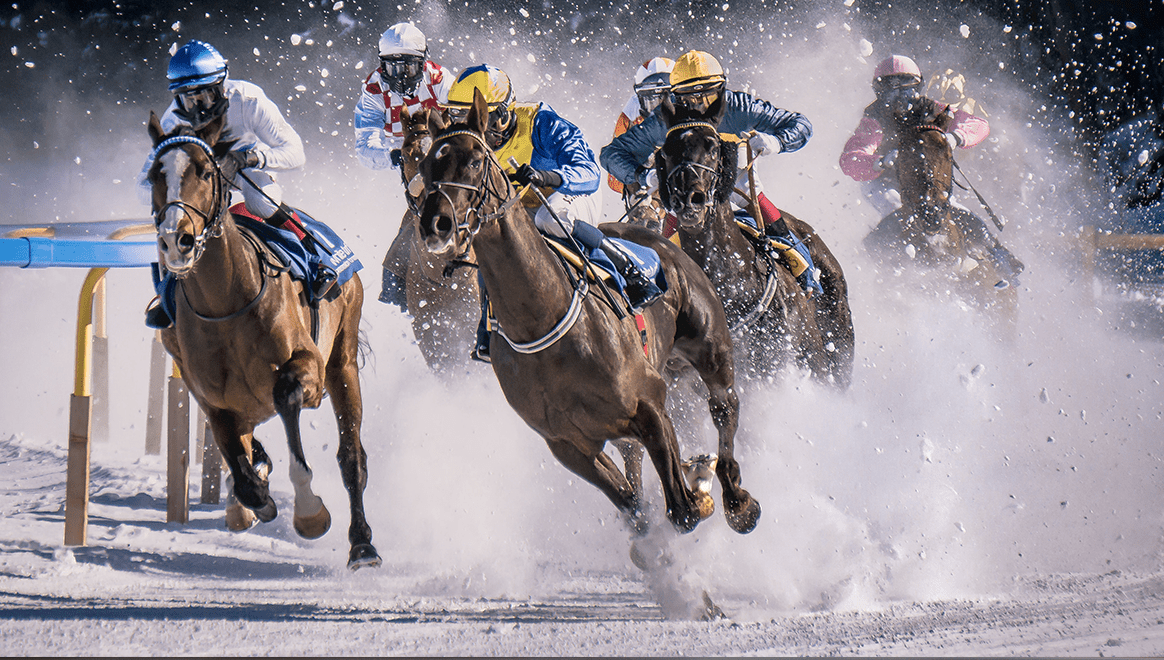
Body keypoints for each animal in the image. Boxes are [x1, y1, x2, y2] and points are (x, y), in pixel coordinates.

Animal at [145, 111, 380, 570]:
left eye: (204, 170)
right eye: (152, 176)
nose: (175, 239)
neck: (226, 303)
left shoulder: (308, 369)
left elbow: (286, 396)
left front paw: (309, 512)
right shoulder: (213, 400)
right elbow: (243, 471)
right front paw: (253, 498)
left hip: (343, 360)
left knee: (351, 457)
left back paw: (362, 545)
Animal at [414, 89, 761, 551]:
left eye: (473, 160)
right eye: (425, 165)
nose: (435, 224)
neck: (543, 320)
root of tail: (659, 233)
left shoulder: (648, 403)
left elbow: (683, 509)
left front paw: (699, 489)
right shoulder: (568, 445)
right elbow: (635, 508)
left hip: (710, 346)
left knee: (725, 407)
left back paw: (736, 499)